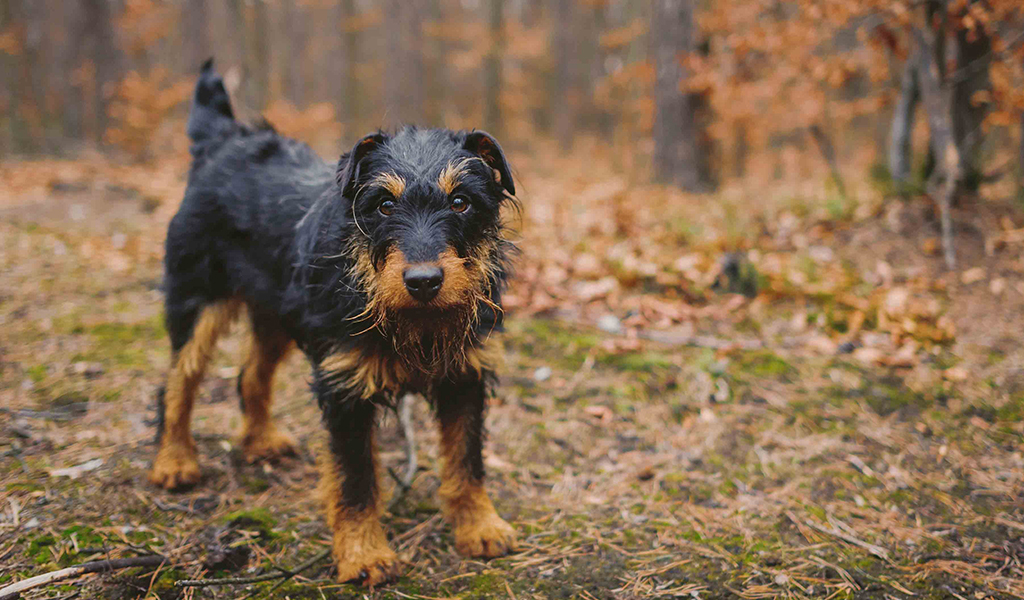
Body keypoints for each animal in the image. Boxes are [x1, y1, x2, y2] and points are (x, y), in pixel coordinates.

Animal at [149, 60, 520, 585]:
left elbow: (466, 459)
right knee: (178, 383)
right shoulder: (345, 389)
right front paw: (364, 554)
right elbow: (356, 479)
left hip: (275, 315)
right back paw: (175, 460)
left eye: (461, 202)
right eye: (384, 205)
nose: (424, 281)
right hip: (195, 303)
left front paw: (478, 526)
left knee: (250, 375)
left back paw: (260, 441)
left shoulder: (464, 376)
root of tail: (223, 141)